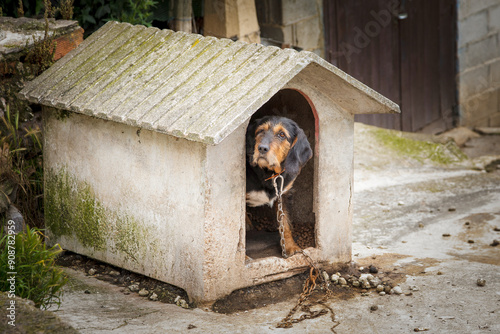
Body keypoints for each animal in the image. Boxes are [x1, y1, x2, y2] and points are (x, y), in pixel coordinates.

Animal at [246, 116, 312, 258]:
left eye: (282, 134)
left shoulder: (285, 195)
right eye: (260, 131)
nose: (262, 148)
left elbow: (285, 223)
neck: (270, 173)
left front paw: (290, 246)